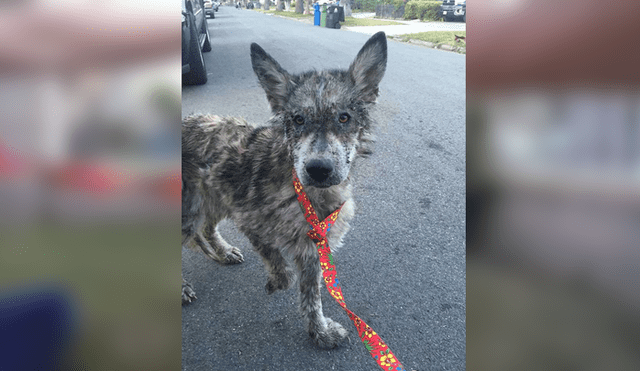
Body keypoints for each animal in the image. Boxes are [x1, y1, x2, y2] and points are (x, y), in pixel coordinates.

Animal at [182, 31, 388, 348]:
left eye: (344, 117)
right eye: (298, 119)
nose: (318, 168)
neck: (306, 196)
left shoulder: (314, 250)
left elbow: (312, 297)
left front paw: (319, 331)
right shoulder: (251, 224)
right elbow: (282, 268)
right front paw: (276, 280)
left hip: (214, 197)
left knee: (204, 230)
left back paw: (222, 252)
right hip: (190, 209)